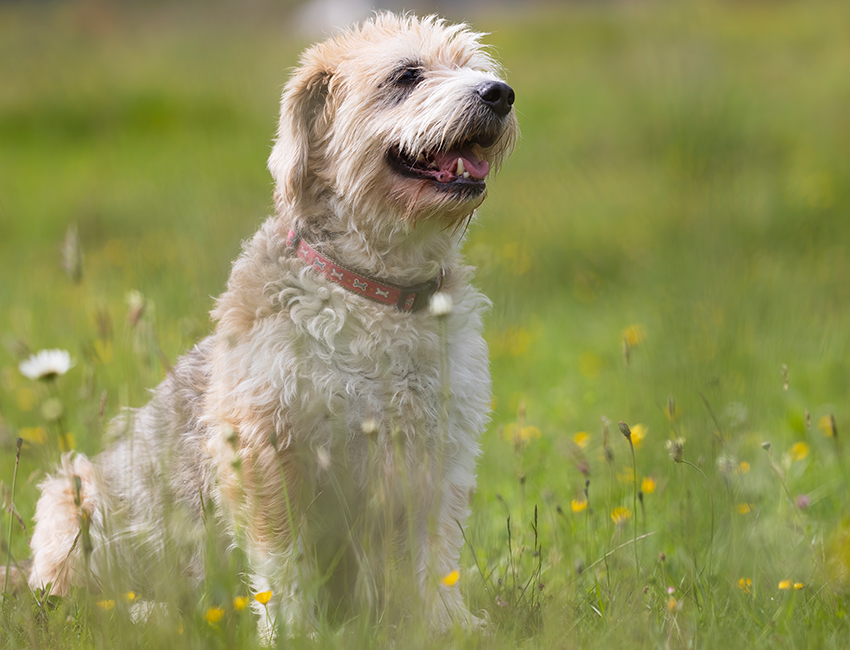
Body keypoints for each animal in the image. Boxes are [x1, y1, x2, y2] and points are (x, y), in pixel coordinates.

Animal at [24, 12, 516, 636]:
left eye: (476, 67)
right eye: (407, 74)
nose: (500, 94)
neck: (377, 292)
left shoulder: (439, 454)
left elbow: (434, 556)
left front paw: (447, 625)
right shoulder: (264, 453)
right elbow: (283, 560)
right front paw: (294, 631)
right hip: (73, 500)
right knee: (69, 602)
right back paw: (147, 612)